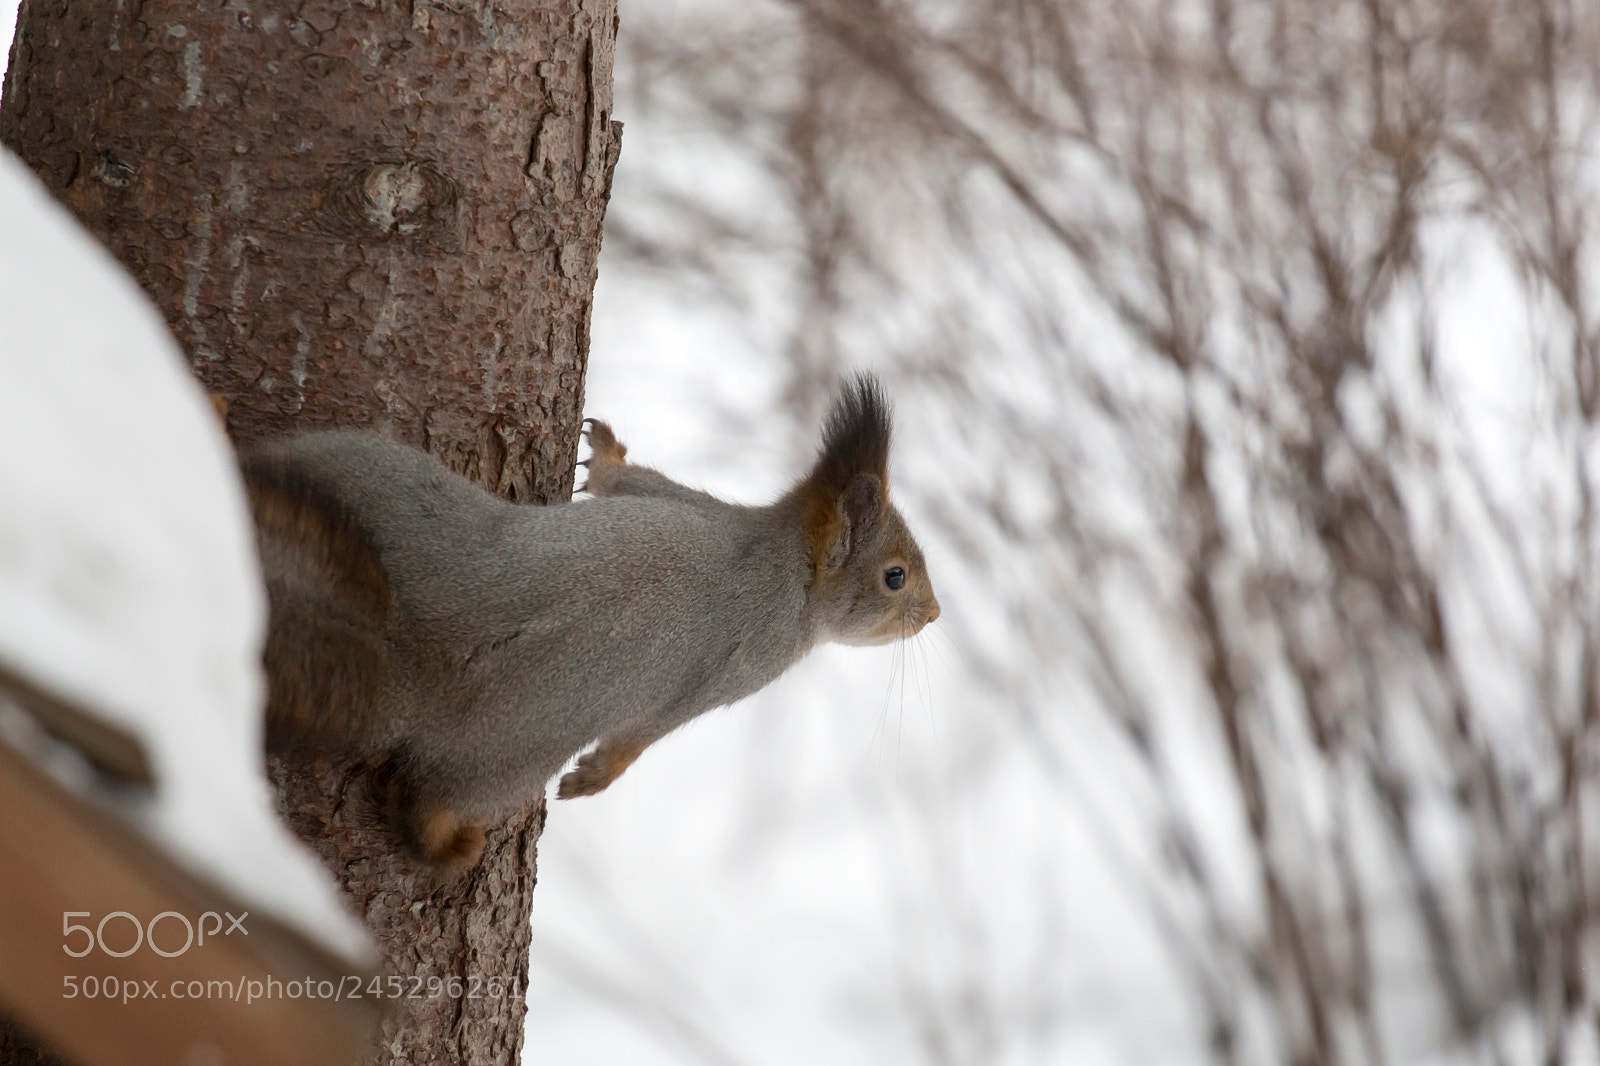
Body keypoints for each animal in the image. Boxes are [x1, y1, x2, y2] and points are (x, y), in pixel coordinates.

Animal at [242, 373, 940, 869]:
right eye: (896, 576)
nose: (933, 615)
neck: (782, 556)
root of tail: (414, 649)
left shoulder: (683, 501)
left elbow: (624, 481)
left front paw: (601, 452)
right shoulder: (742, 663)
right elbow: (646, 734)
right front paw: (598, 777)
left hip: (370, 474)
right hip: (510, 753)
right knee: (431, 799)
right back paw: (448, 845)